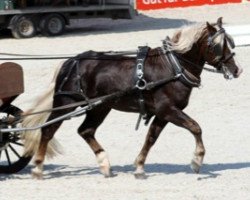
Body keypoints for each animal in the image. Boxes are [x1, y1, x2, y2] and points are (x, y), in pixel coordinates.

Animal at [22, 17, 242, 180]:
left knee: (86, 131)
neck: (173, 67)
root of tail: (71, 61)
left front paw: (139, 167)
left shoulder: (162, 114)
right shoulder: (168, 110)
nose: (236, 69)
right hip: (66, 104)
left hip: (100, 107)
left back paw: (104, 164)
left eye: (229, 42)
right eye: (217, 45)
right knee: (48, 129)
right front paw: (197, 160)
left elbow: (151, 138)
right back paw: (38, 167)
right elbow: (195, 127)